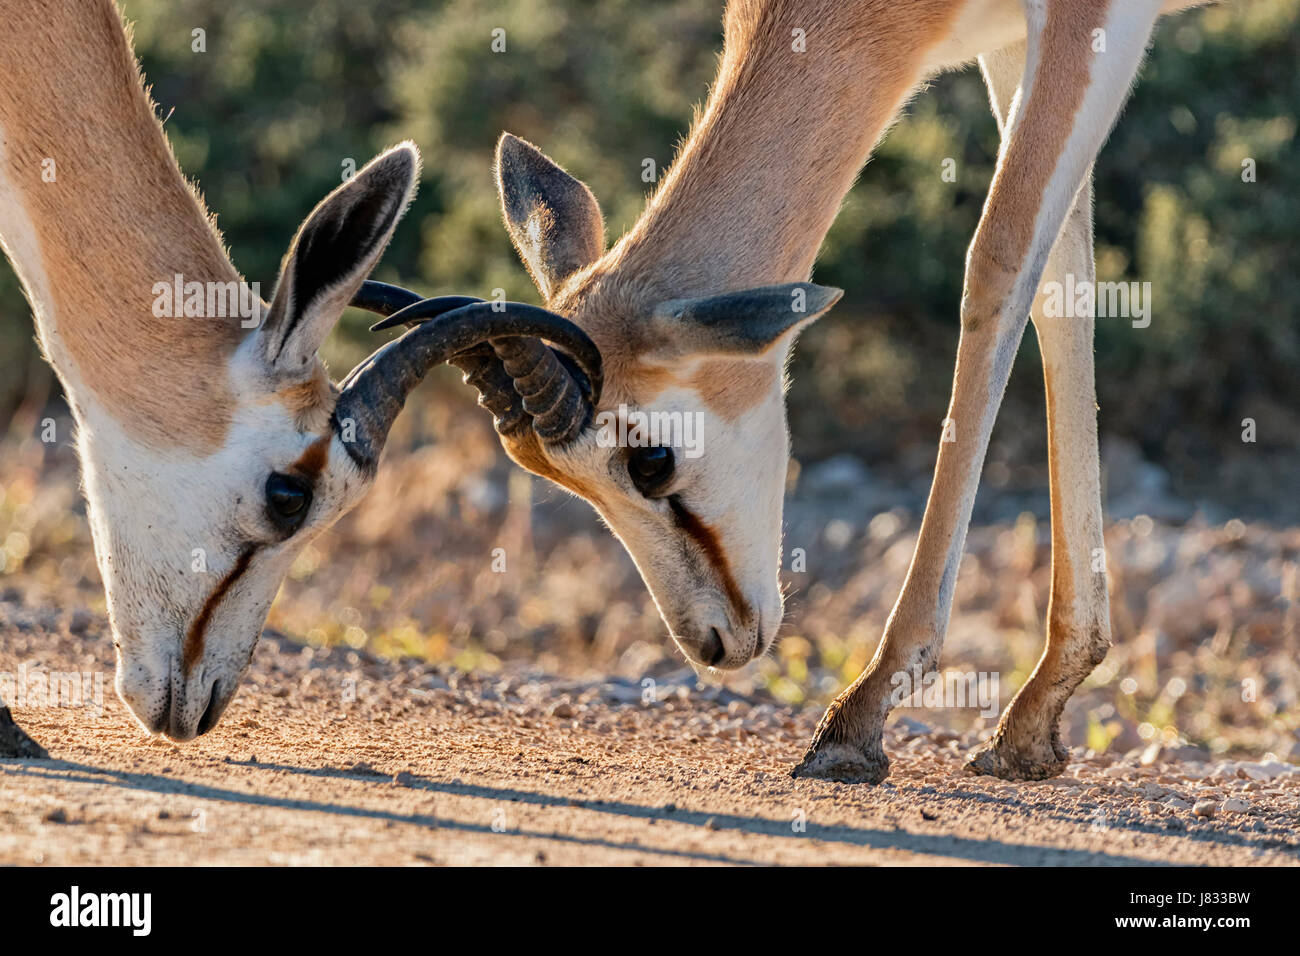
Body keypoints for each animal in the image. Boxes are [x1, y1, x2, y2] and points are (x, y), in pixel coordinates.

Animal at [431, 0, 1211, 785]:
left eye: (650, 461)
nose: (714, 643)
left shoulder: (1094, 20)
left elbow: (999, 264)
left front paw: (859, 714)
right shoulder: (1013, 40)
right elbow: (1061, 284)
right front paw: (1036, 717)